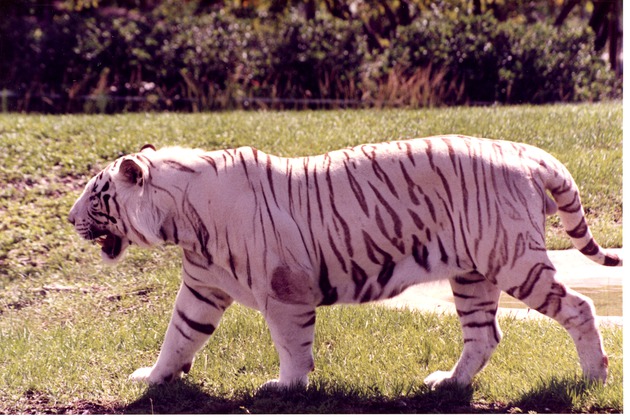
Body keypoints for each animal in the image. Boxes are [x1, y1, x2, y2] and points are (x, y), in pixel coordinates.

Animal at [68, 136, 624, 388]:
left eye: (96, 194)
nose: (70, 217)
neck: (182, 221)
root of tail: (526, 151)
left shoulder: (284, 292)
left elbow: (292, 347)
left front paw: (285, 388)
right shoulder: (203, 287)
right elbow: (179, 335)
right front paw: (152, 378)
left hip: (513, 260)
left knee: (578, 307)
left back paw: (594, 376)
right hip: (473, 275)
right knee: (484, 335)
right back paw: (448, 383)